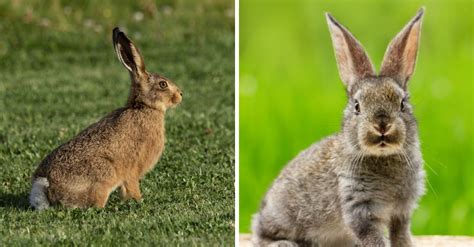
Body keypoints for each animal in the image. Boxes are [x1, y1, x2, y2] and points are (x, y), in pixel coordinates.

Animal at [27, 27, 182, 209]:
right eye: (163, 84)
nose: (180, 95)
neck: (144, 107)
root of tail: (44, 184)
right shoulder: (132, 168)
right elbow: (132, 185)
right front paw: (139, 200)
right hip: (105, 173)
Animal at [252, 7, 426, 247]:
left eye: (402, 104)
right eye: (357, 106)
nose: (382, 125)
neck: (382, 157)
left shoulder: (401, 212)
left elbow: (400, 235)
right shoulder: (359, 207)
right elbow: (372, 237)